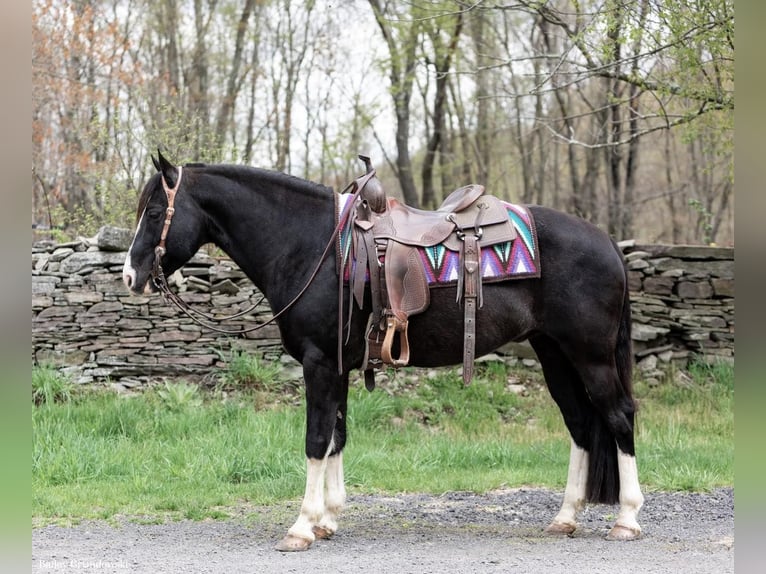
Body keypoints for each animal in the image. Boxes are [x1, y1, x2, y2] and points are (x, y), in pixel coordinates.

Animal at [123, 153, 644, 552]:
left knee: (618, 416)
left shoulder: (319, 364)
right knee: (580, 424)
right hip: (554, 353)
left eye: (155, 213)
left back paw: (627, 519)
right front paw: (328, 520)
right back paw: (566, 517)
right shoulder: (336, 366)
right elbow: (336, 436)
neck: (311, 247)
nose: (130, 275)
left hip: (591, 356)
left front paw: (301, 527)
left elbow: (315, 439)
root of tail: (607, 242)